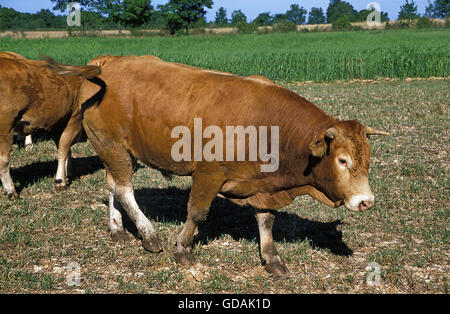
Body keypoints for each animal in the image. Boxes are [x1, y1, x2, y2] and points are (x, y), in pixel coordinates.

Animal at [0, 53, 99, 196]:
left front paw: (68, 172)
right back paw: (11, 191)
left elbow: (65, 150)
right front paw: (60, 180)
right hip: (5, 129)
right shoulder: (74, 120)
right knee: (3, 160)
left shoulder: (59, 125)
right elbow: (63, 148)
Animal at [47, 55, 388, 274]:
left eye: (368, 159)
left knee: (112, 186)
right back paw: (149, 235)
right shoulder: (208, 175)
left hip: (113, 149)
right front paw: (183, 250)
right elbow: (197, 213)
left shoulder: (262, 186)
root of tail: (107, 61)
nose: (367, 201)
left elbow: (266, 219)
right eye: (342, 160)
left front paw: (271, 259)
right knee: (123, 188)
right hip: (112, 146)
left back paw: (117, 229)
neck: (268, 125)